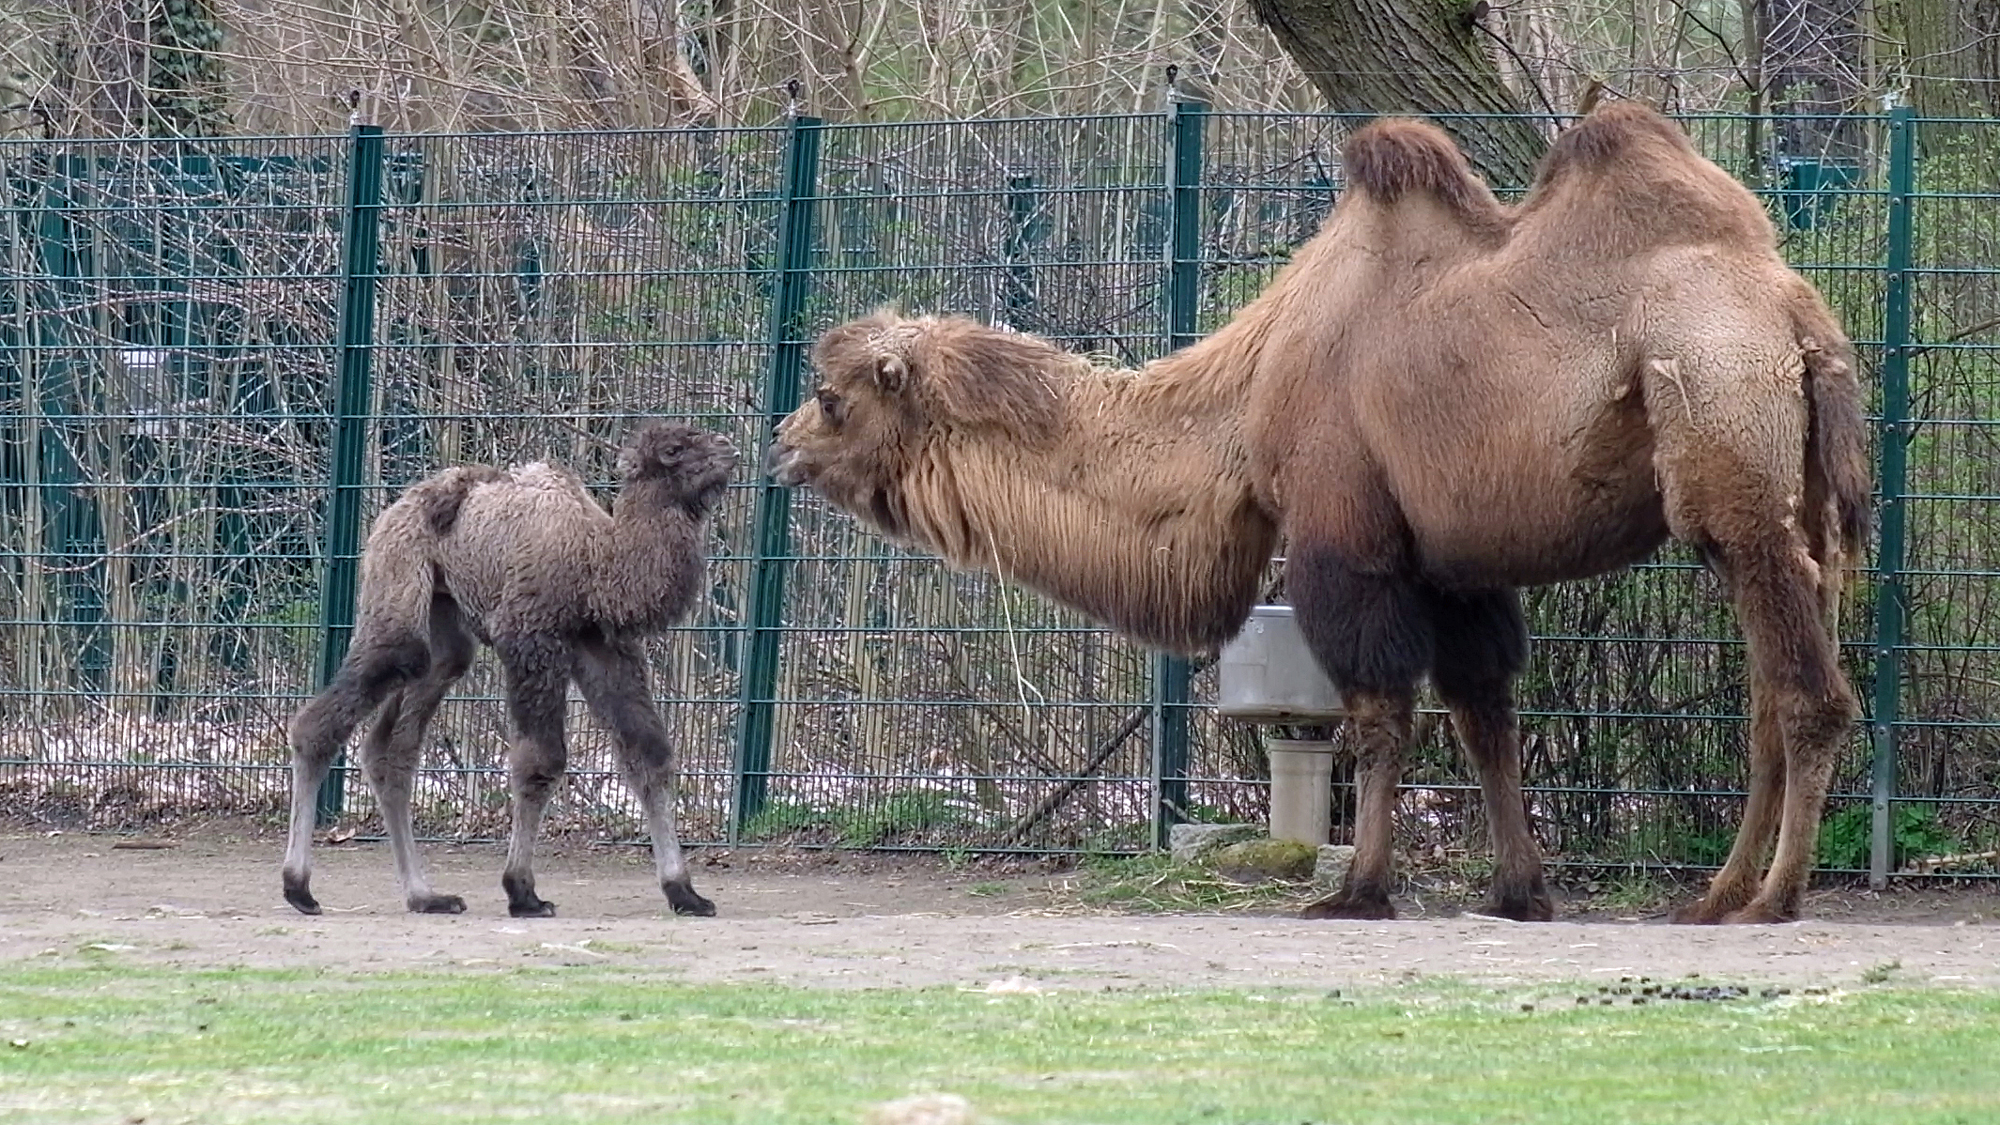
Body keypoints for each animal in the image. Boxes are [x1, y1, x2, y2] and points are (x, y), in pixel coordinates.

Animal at [282, 416, 736, 916]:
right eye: (675, 450)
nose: (729, 448)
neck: (597, 562)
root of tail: (392, 511)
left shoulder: (601, 644)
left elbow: (648, 754)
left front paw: (685, 892)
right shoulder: (528, 636)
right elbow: (540, 762)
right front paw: (523, 891)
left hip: (444, 622)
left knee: (395, 743)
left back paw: (426, 896)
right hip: (398, 578)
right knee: (348, 698)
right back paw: (299, 888)